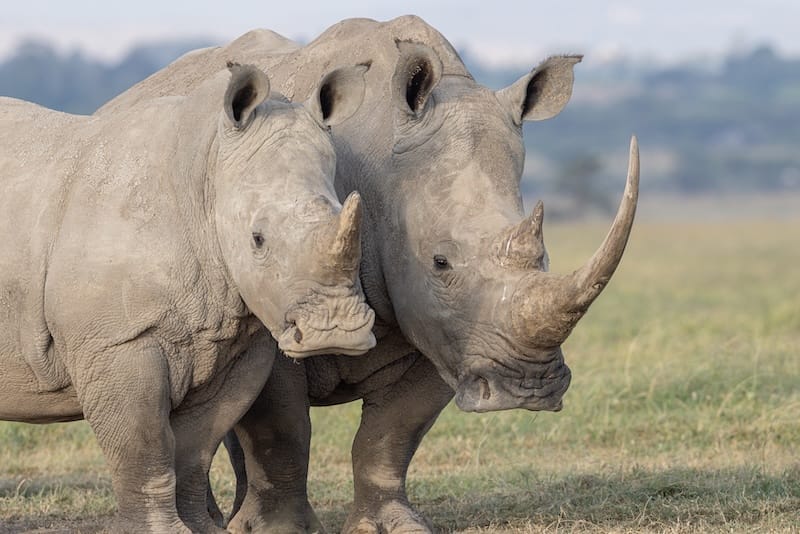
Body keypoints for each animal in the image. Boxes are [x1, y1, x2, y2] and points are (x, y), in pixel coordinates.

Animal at [0, 62, 376, 532]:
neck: (206, 178)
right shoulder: (116, 340)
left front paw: (202, 529)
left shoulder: (233, 340)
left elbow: (196, 448)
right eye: (257, 239)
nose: (338, 333)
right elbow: (144, 442)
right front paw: (159, 530)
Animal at [100, 16, 639, 533]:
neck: (382, 168)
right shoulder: (284, 303)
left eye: (544, 257)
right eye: (440, 262)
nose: (527, 389)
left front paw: (393, 525)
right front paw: (280, 529)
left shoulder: (444, 329)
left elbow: (390, 437)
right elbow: (281, 432)